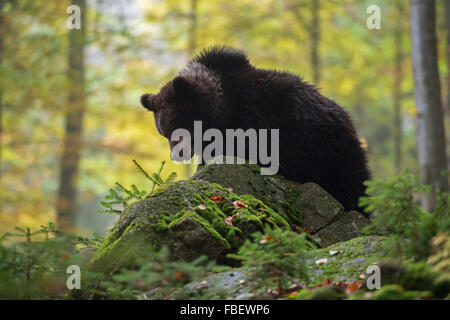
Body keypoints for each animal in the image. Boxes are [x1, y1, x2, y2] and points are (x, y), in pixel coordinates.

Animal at [142, 45, 370, 214]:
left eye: (178, 122)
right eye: (164, 132)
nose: (177, 153)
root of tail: (347, 117)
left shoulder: (252, 120)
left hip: (323, 144)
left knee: (351, 180)